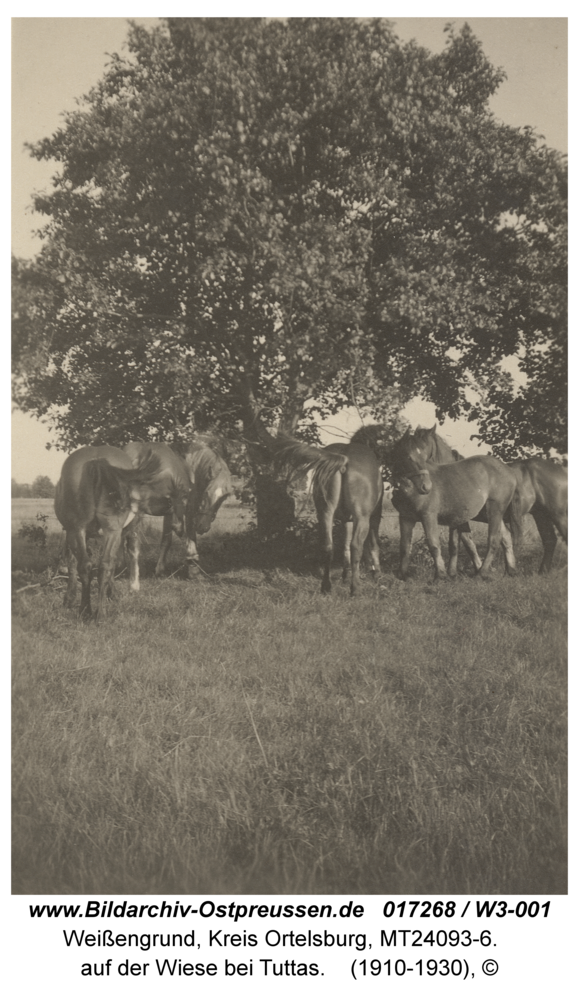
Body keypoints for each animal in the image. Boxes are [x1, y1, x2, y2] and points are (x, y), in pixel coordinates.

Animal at [54, 444, 161, 620]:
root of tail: (97, 460)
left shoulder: (74, 531)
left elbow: (73, 562)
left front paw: (70, 598)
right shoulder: (128, 530)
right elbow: (125, 556)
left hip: (79, 528)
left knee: (88, 565)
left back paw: (86, 610)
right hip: (110, 529)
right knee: (104, 564)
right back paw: (99, 612)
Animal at [276, 436, 386, 592]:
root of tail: (344, 457)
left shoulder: (346, 519)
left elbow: (345, 545)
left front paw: (345, 575)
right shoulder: (374, 516)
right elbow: (373, 544)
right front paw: (376, 574)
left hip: (325, 513)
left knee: (328, 545)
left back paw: (326, 586)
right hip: (362, 517)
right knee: (356, 546)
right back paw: (355, 588)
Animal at [392, 458, 524, 584]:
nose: (425, 487)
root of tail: (509, 470)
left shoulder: (428, 516)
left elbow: (435, 545)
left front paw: (441, 576)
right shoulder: (406, 517)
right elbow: (405, 546)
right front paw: (401, 576)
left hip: (494, 510)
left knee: (494, 540)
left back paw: (481, 574)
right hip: (490, 513)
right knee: (506, 536)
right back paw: (511, 571)